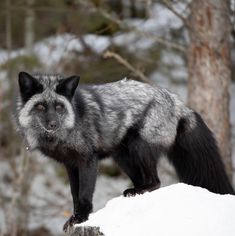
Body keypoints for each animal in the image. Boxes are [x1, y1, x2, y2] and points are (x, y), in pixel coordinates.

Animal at [15, 72, 234, 232]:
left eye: (59, 106)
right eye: (40, 106)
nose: (53, 124)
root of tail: (177, 101)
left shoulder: (87, 160)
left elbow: (84, 195)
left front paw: (81, 218)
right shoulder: (70, 165)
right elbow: (74, 195)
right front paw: (75, 218)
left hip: (140, 147)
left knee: (156, 182)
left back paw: (140, 190)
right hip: (123, 158)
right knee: (144, 181)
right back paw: (133, 193)